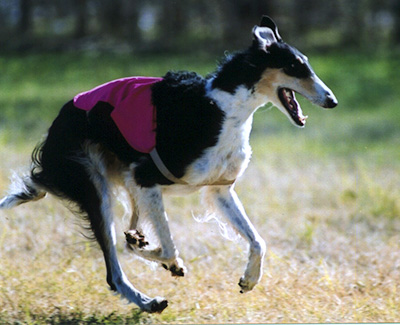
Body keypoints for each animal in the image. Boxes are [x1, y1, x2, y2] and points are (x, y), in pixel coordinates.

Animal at [0, 17, 338, 312]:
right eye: (295, 67)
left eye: (305, 64)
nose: (332, 101)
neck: (222, 108)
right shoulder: (146, 177)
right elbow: (171, 247)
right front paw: (168, 261)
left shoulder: (218, 189)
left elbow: (258, 241)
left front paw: (249, 279)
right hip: (97, 188)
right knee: (113, 270)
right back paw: (147, 300)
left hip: (123, 183)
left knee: (128, 237)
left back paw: (140, 253)